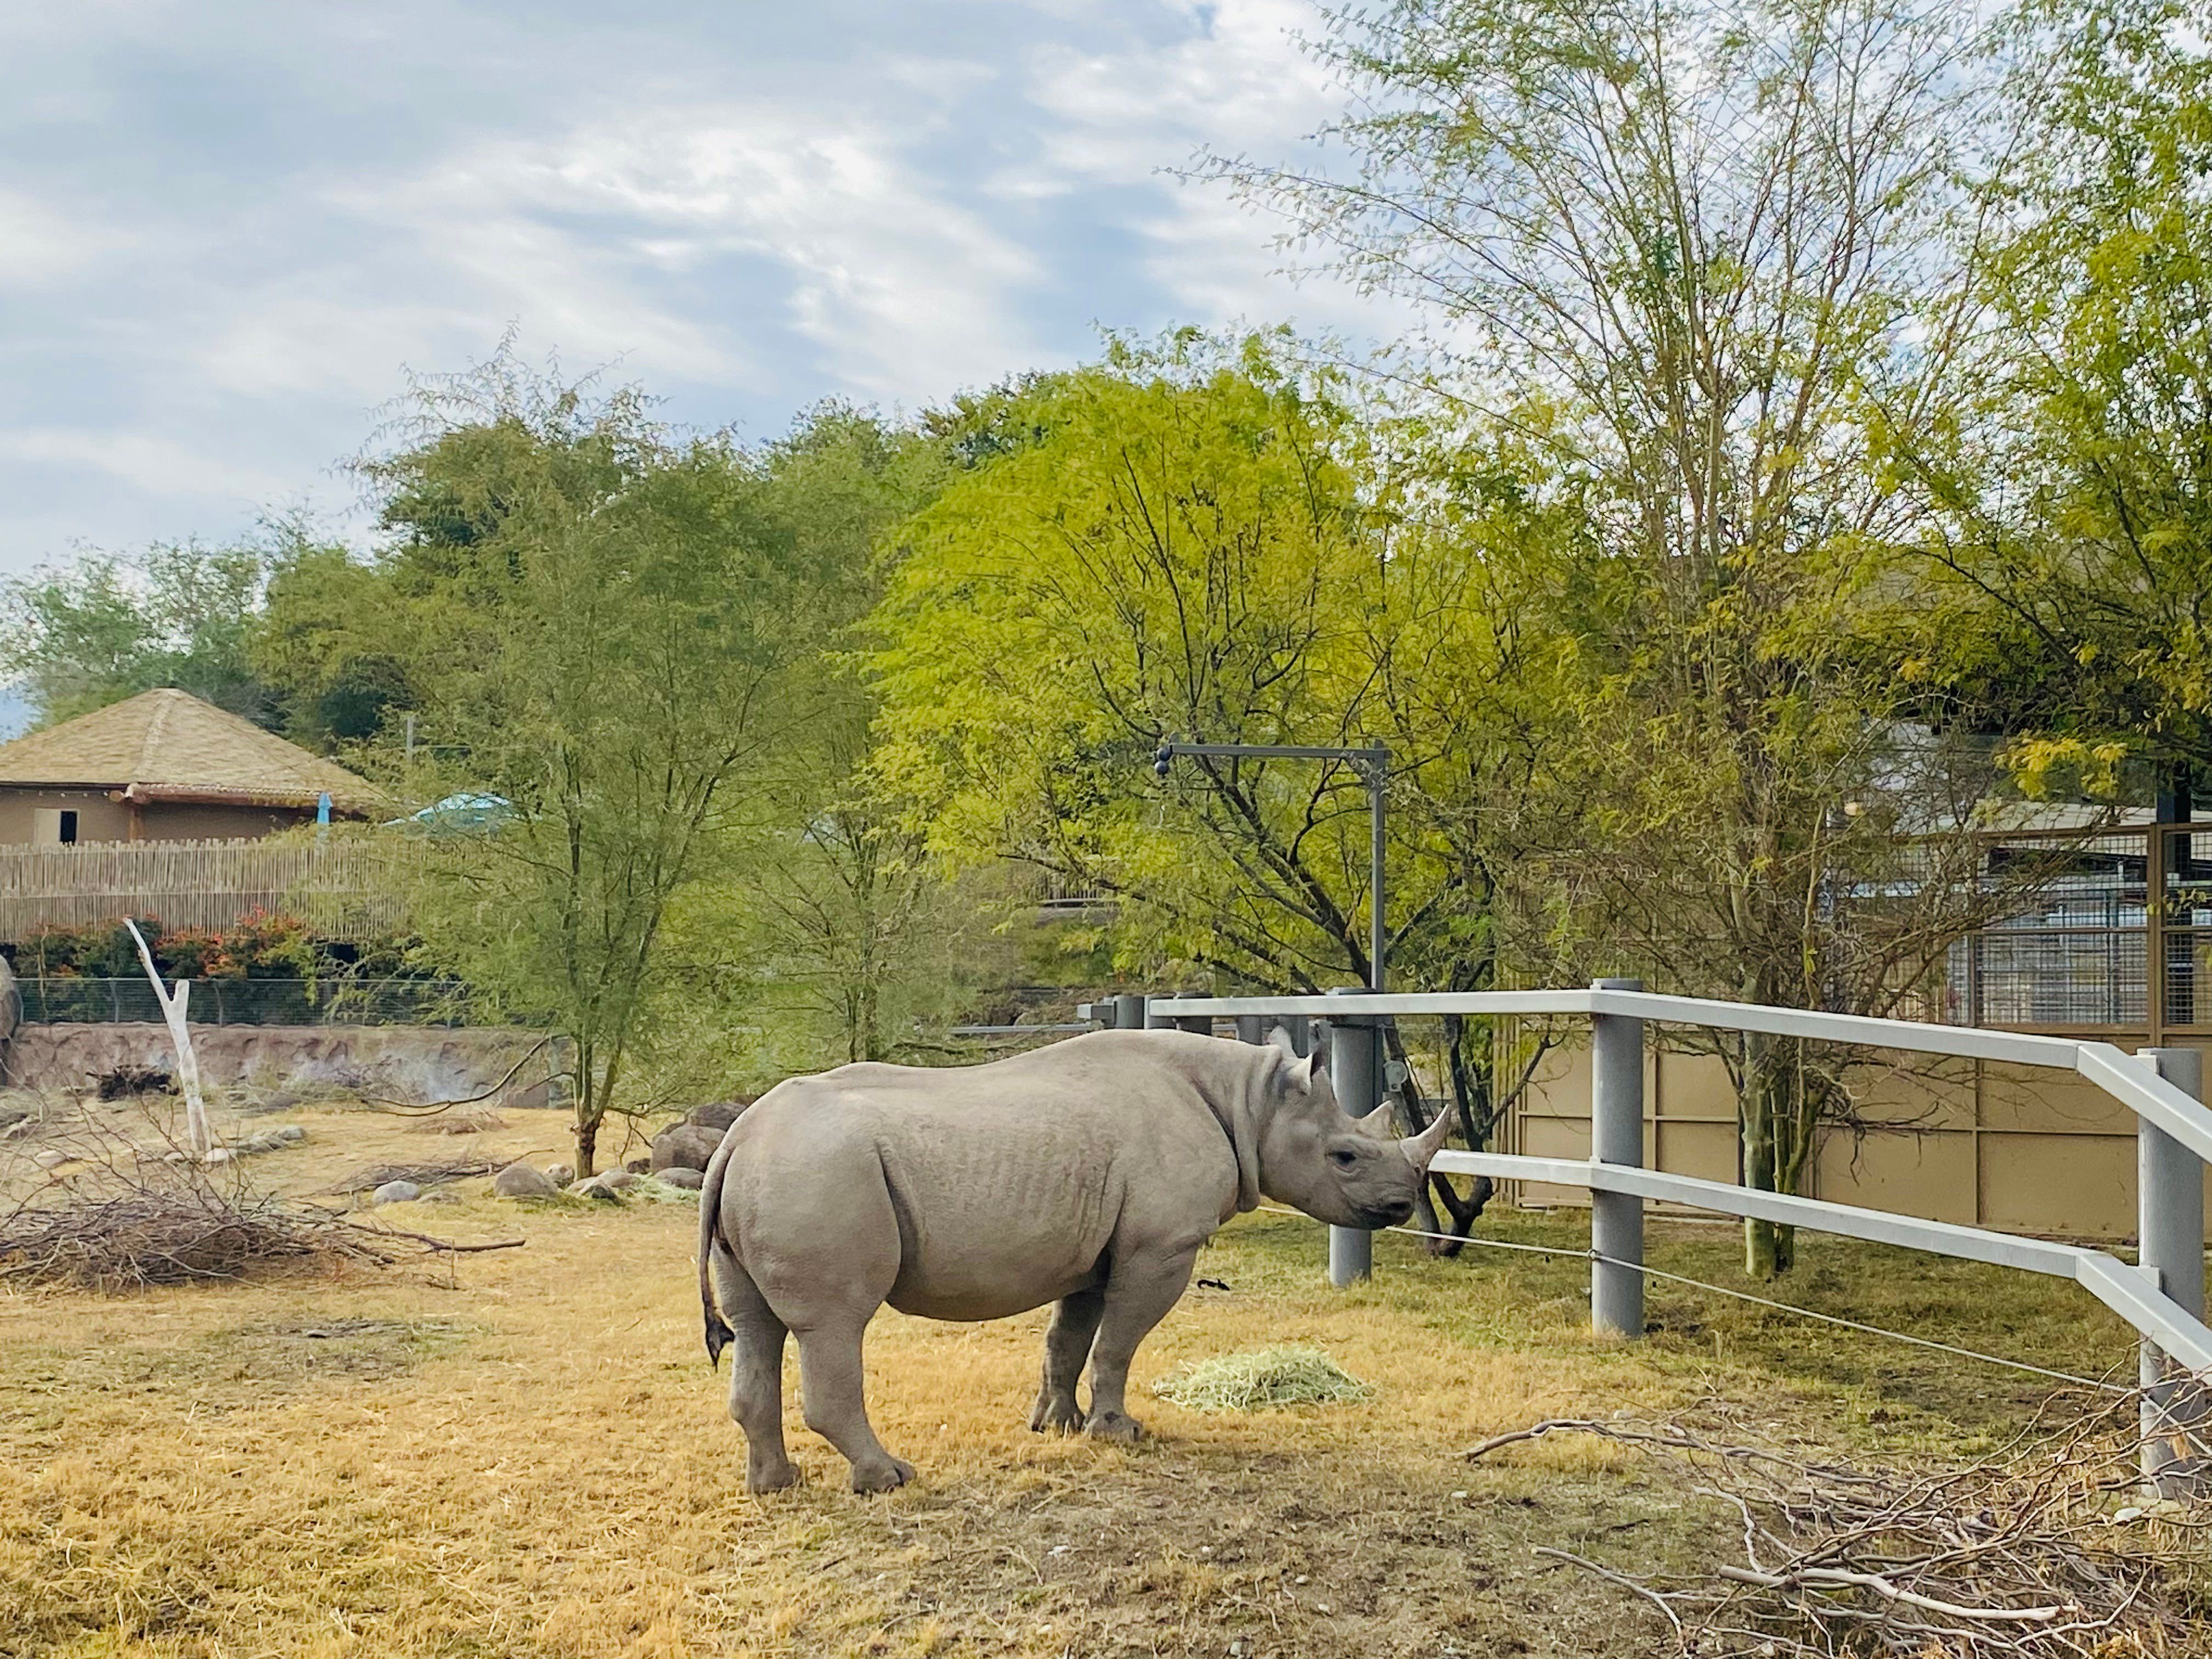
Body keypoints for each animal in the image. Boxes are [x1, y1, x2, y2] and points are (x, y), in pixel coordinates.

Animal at [697, 1026, 1454, 1494]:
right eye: (1345, 1157)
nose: (1399, 1204)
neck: (1250, 1102)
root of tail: (736, 1139)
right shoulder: (1162, 1245)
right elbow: (1119, 1342)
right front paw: (1120, 1432)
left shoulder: (1096, 1249)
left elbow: (1070, 1337)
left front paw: (1054, 1425)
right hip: (818, 1172)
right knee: (834, 1324)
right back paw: (890, 1479)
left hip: (775, 1174)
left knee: (757, 1326)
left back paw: (776, 1486)